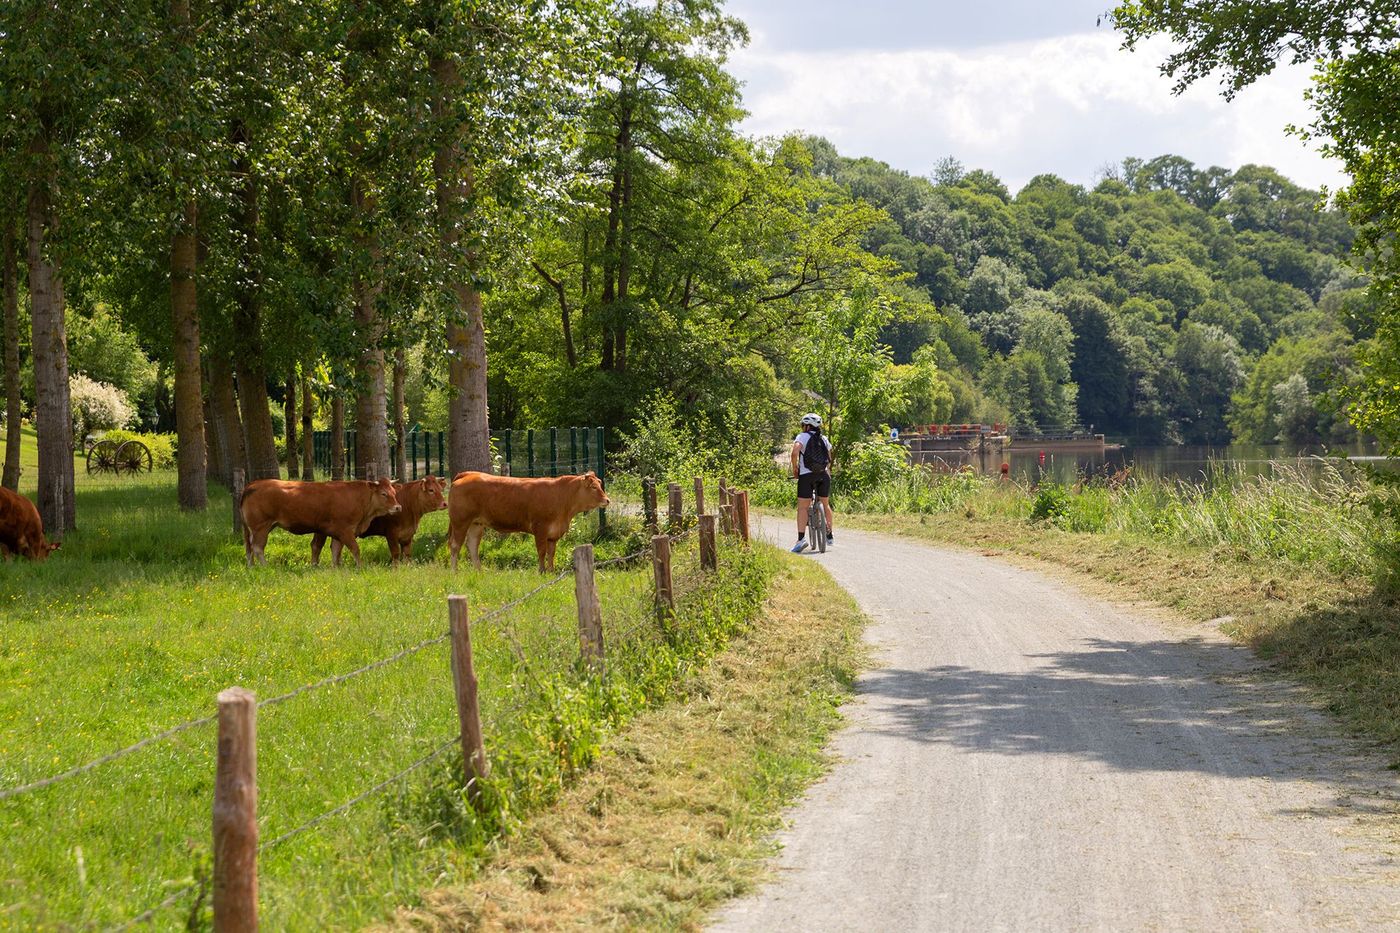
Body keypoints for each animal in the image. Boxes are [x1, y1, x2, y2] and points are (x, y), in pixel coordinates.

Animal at [240, 478, 401, 567]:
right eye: (384, 493)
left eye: (394, 492)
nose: (398, 507)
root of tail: (253, 485)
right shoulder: (345, 531)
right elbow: (355, 549)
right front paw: (360, 567)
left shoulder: (335, 533)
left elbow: (335, 550)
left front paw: (335, 568)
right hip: (261, 527)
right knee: (257, 547)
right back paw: (265, 566)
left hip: (257, 529)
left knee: (249, 547)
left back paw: (252, 566)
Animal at [310, 475, 447, 566]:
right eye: (431, 490)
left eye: (441, 489)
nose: (445, 503)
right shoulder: (391, 533)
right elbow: (395, 553)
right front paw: (396, 569)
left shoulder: (408, 535)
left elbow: (407, 554)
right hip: (323, 530)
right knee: (317, 546)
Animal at [448, 471, 610, 573]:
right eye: (593, 487)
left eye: (600, 485)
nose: (607, 500)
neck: (562, 496)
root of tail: (468, 474)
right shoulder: (540, 528)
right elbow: (542, 551)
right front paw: (542, 571)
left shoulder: (553, 534)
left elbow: (551, 553)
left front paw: (551, 571)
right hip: (460, 522)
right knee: (455, 546)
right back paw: (454, 572)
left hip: (476, 524)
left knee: (472, 546)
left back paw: (479, 571)